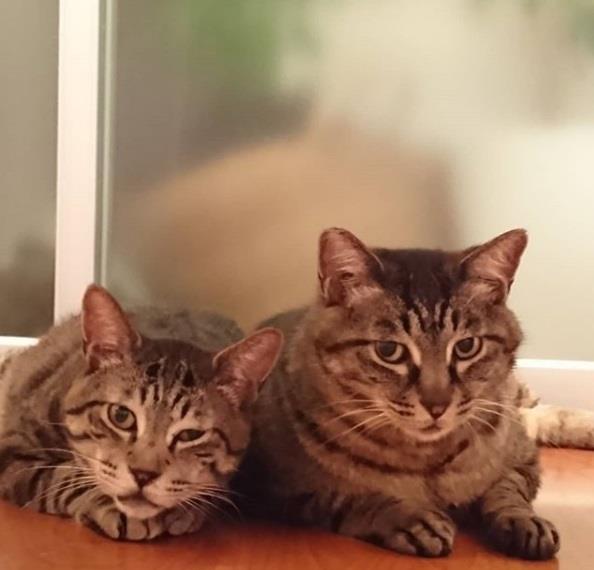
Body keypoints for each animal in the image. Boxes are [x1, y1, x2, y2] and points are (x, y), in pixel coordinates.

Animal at [0, 284, 282, 540]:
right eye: (121, 416)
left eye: (190, 434)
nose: (143, 475)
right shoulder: (12, 448)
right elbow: (61, 476)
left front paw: (188, 510)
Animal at [243, 227, 588, 560]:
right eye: (388, 350)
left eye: (466, 347)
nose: (437, 405)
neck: (429, 460)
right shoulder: (276, 490)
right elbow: (351, 497)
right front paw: (411, 518)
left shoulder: (523, 458)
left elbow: (508, 489)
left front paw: (524, 521)